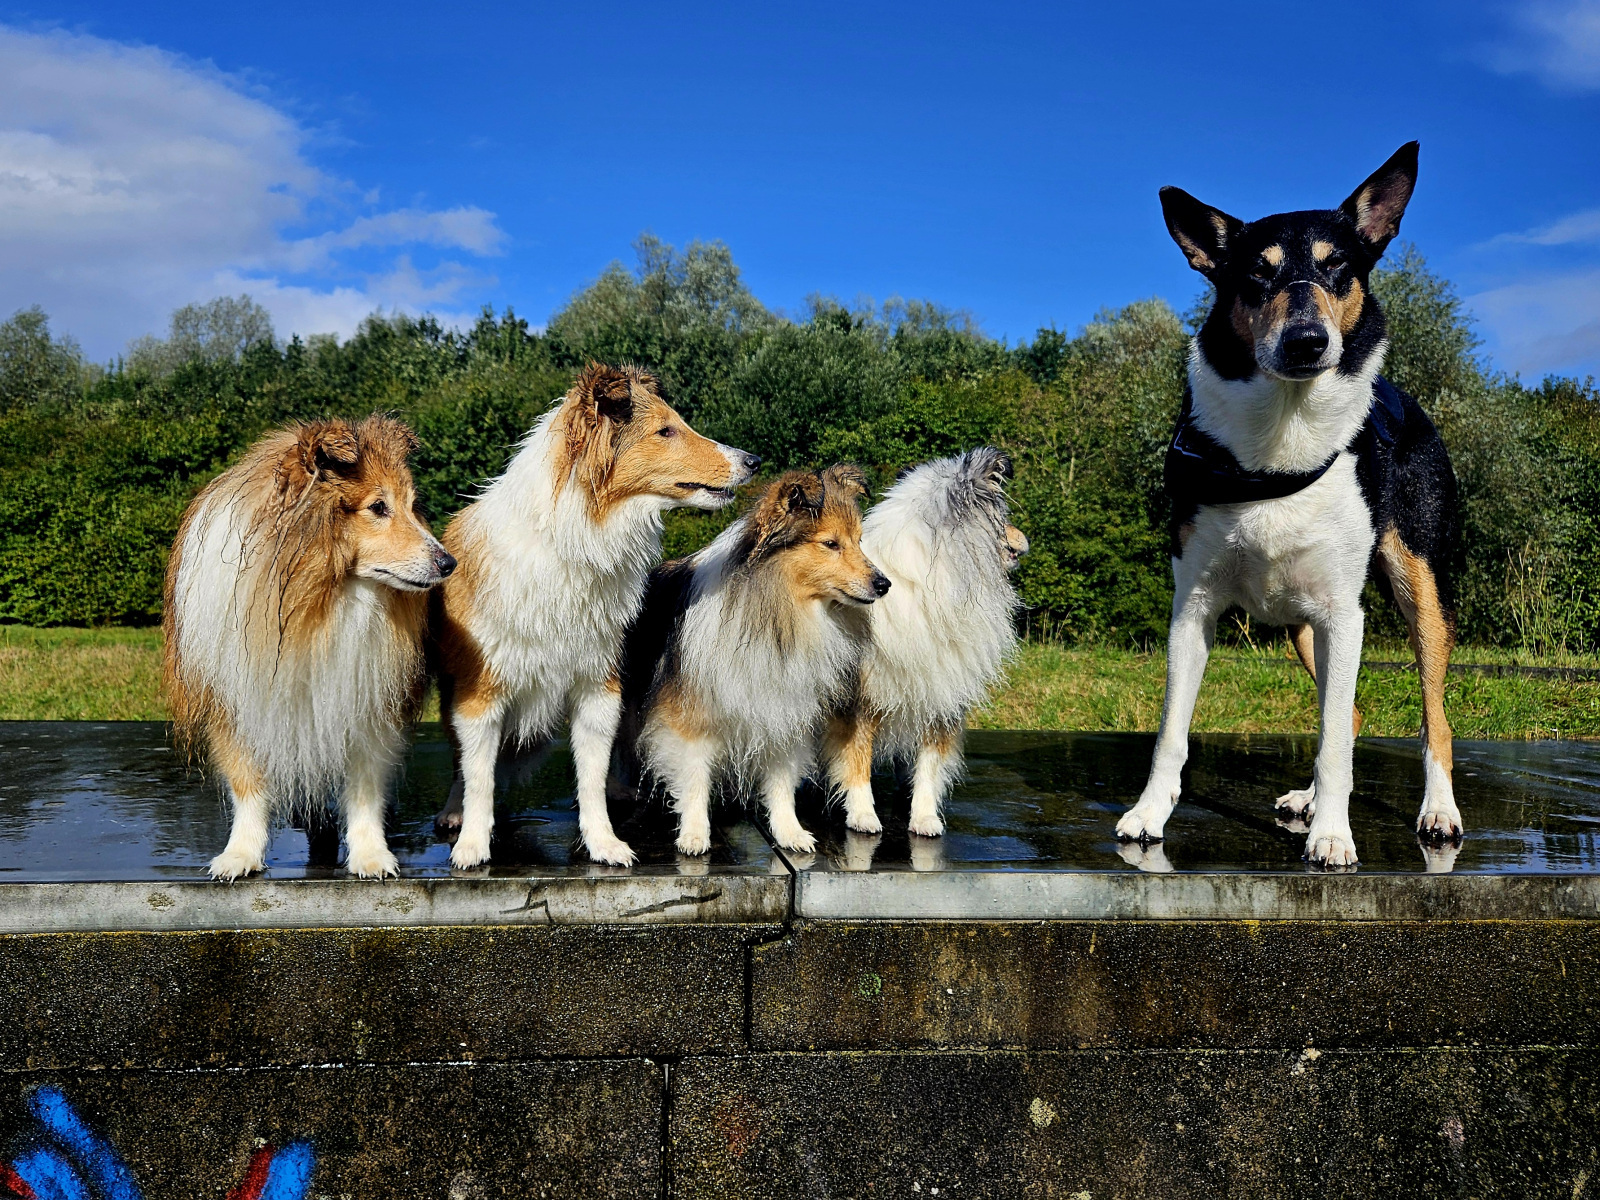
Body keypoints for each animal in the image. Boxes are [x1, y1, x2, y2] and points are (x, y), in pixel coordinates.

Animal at [164, 415, 455, 881]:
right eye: (378, 507)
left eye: (413, 505)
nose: (449, 564)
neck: (321, 603)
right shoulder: (233, 699)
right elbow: (247, 783)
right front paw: (240, 854)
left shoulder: (368, 701)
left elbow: (365, 788)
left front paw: (371, 855)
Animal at [429, 363, 759, 868]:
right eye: (665, 430)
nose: (754, 460)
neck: (573, 539)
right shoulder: (481, 692)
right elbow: (480, 776)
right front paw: (471, 846)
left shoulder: (598, 685)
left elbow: (591, 775)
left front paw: (604, 843)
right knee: (458, 764)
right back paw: (452, 813)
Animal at [617, 465, 889, 856]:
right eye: (830, 544)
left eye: (859, 540)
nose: (884, 584)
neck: (779, 612)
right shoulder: (689, 714)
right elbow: (694, 776)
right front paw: (694, 835)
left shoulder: (783, 710)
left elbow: (781, 780)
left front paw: (790, 832)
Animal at [822, 447, 1027, 837]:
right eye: (1004, 515)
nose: (1026, 539)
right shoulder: (861, 698)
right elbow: (857, 759)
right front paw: (863, 816)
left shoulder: (941, 694)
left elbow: (930, 765)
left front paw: (925, 818)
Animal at [1115, 141, 1461, 868]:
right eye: (1257, 273)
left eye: (1337, 267)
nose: (1307, 341)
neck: (1281, 444)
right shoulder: (1193, 609)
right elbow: (1171, 732)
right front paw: (1148, 814)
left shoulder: (1345, 615)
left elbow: (1334, 743)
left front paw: (1334, 835)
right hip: (1306, 629)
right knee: (1348, 712)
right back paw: (1308, 800)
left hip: (1417, 588)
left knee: (1432, 717)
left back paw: (1437, 811)